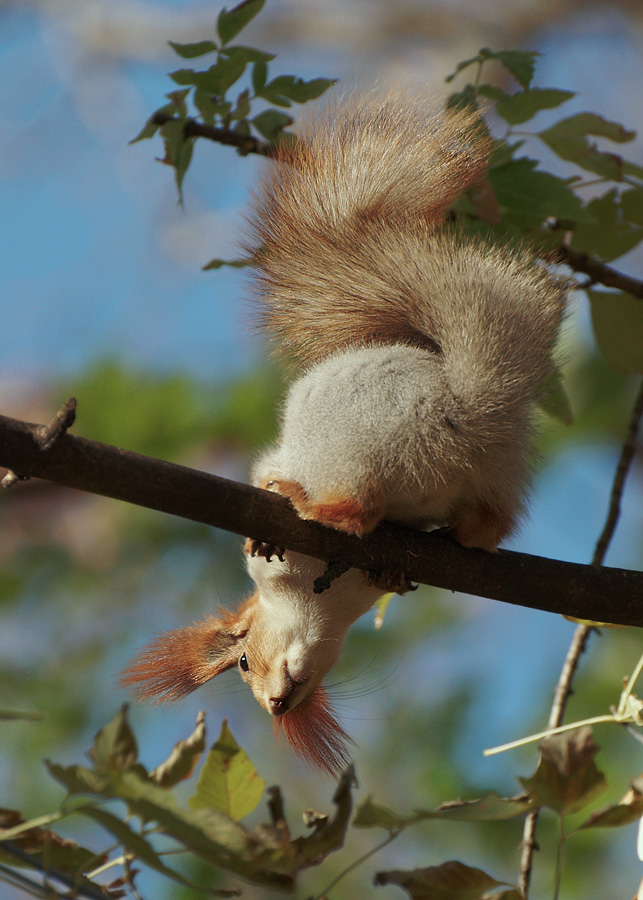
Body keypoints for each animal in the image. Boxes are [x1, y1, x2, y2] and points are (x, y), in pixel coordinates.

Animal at [119, 95, 564, 776]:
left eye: (243, 660)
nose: (275, 704)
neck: (326, 603)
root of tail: (464, 403)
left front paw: (265, 526)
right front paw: (396, 579)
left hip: (351, 444)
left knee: (356, 508)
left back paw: (311, 505)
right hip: (499, 474)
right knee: (485, 524)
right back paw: (456, 533)